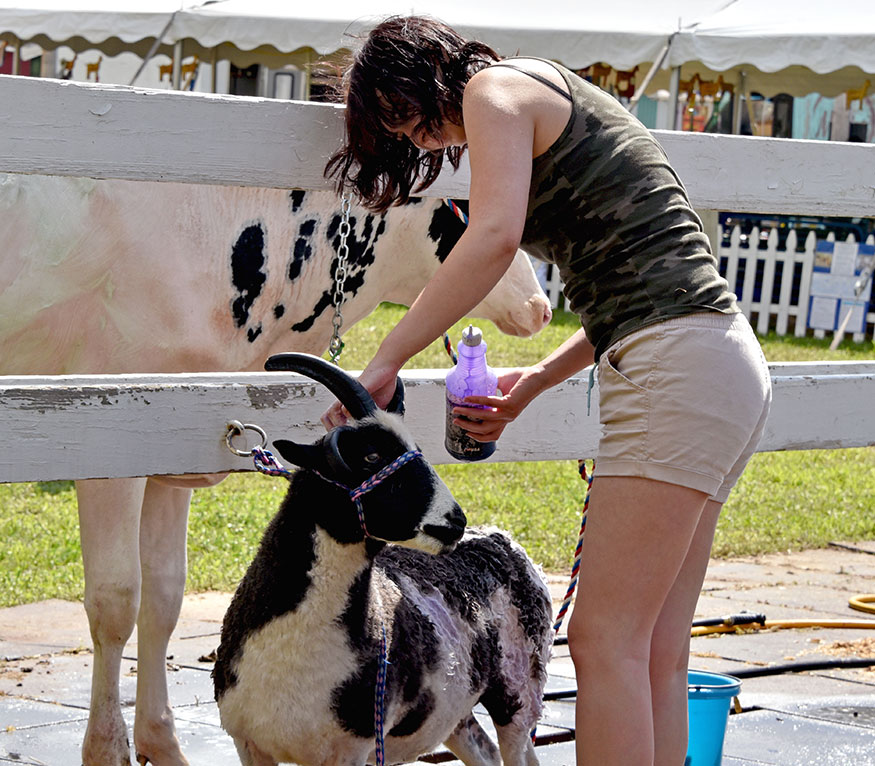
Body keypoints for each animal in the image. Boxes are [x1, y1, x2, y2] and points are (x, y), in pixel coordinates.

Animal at [213, 353, 553, 766]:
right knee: (484, 751)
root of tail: (503, 539)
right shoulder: (248, 743)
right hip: (453, 711)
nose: (454, 520)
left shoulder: (354, 748)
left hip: (521, 687)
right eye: (371, 456)